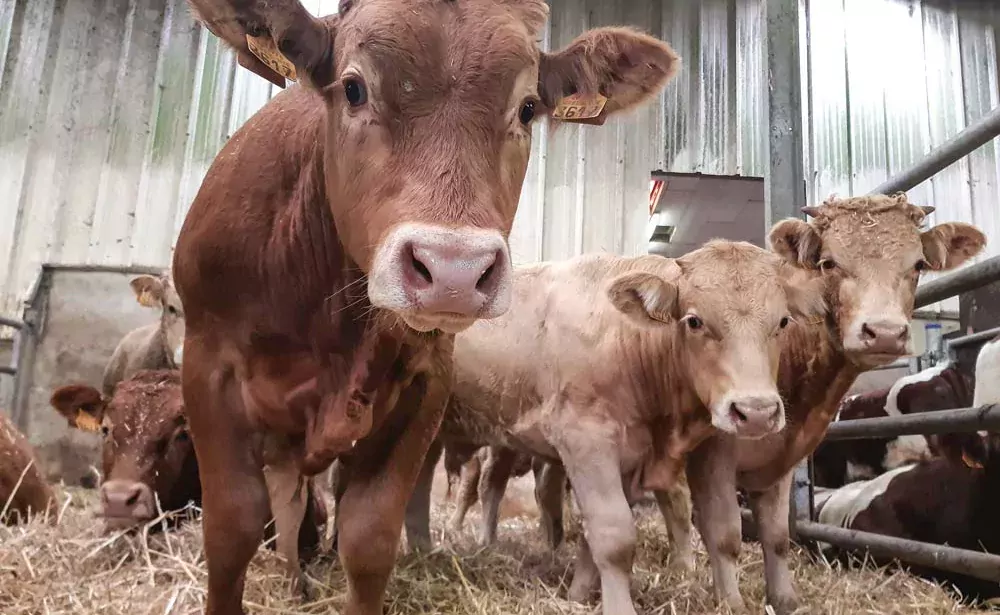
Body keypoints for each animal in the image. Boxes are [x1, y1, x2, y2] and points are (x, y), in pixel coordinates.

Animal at [176, 1, 684, 615]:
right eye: (353, 88)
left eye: (528, 107)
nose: (454, 271)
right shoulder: (207, 365)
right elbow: (232, 527)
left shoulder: (426, 385)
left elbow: (370, 537)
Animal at [408, 242, 828, 615]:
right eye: (694, 320)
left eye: (782, 321)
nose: (756, 412)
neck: (626, 340)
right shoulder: (586, 442)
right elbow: (615, 536)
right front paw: (617, 606)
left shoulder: (634, 455)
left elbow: (597, 537)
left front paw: (579, 594)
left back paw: (421, 549)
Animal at [644, 196, 988, 615]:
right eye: (829, 263)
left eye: (918, 264)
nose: (884, 333)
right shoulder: (713, 456)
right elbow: (724, 534)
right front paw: (730, 603)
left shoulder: (781, 457)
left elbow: (777, 535)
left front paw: (785, 600)